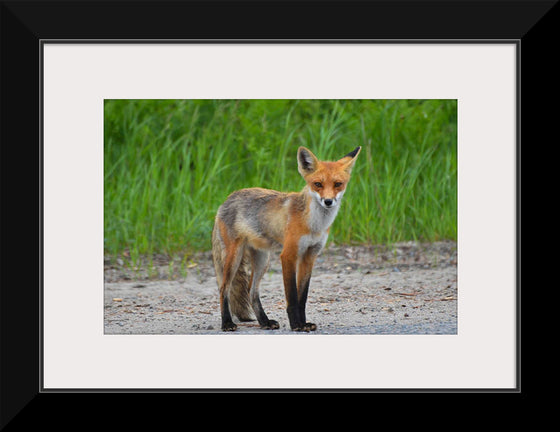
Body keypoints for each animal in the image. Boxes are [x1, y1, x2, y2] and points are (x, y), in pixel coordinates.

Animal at [212, 145, 360, 330]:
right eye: (318, 184)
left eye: (338, 184)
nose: (328, 201)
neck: (314, 225)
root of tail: (226, 199)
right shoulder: (289, 255)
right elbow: (292, 297)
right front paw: (296, 324)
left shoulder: (309, 256)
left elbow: (302, 297)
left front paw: (304, 323)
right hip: (234, 256)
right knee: (223, 288)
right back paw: (227, 322)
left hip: (263, 259)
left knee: (251, 291)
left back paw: (264, 321)